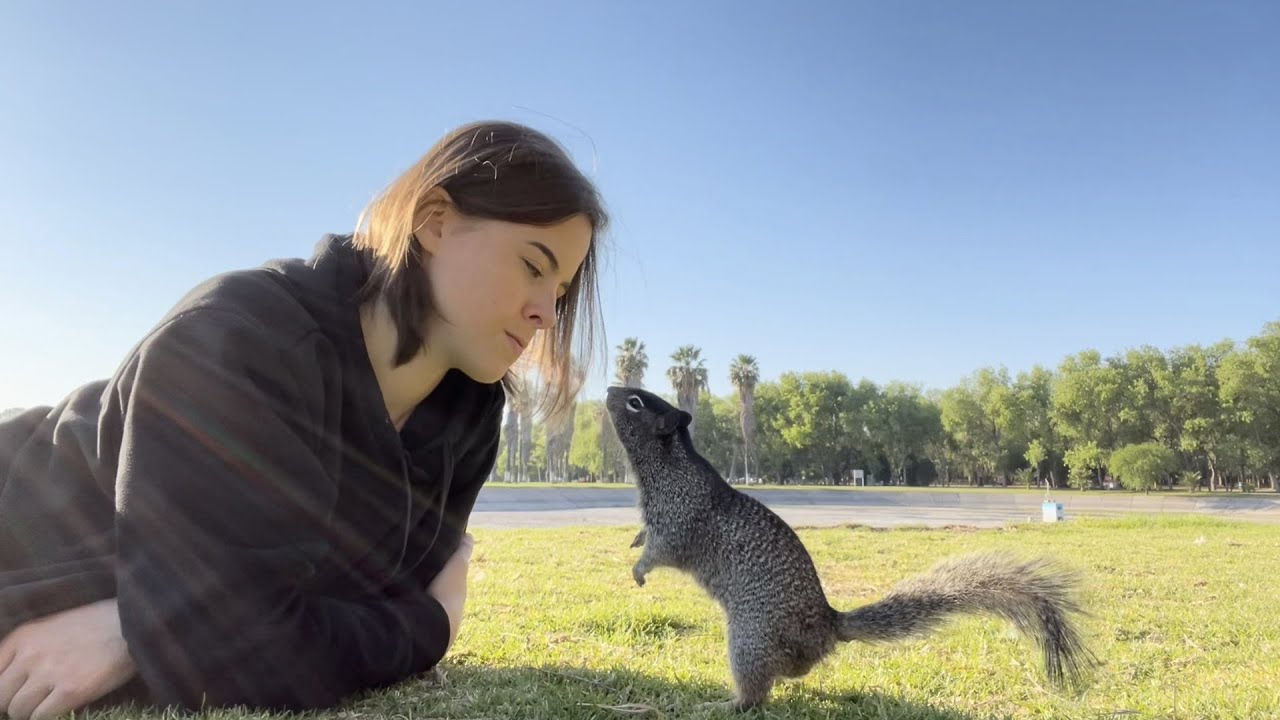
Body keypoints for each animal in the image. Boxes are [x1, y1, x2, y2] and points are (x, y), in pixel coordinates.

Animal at [604, 385, 1097, 712]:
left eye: (636, 402)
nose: (610, 388)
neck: (669, 466)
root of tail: (829, 627)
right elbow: (647, 538)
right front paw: (633, 541)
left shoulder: (677, 520)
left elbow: (661, 551)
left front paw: (638, 570)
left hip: (748, 640)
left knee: (757, 693)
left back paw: (724, 705)